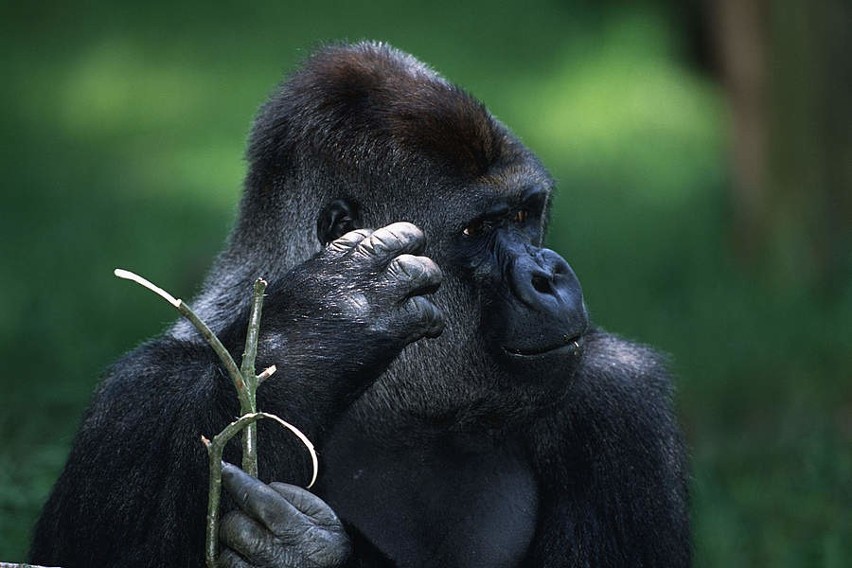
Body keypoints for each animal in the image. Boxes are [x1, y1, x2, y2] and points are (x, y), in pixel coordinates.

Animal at [28, 42, 692, 564]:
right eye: (478, 230)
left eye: (528, 214)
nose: (547, 276)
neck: (395, 400)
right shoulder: (136, 407)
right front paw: (321, 326)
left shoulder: (619, 395)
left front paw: (308, 553)